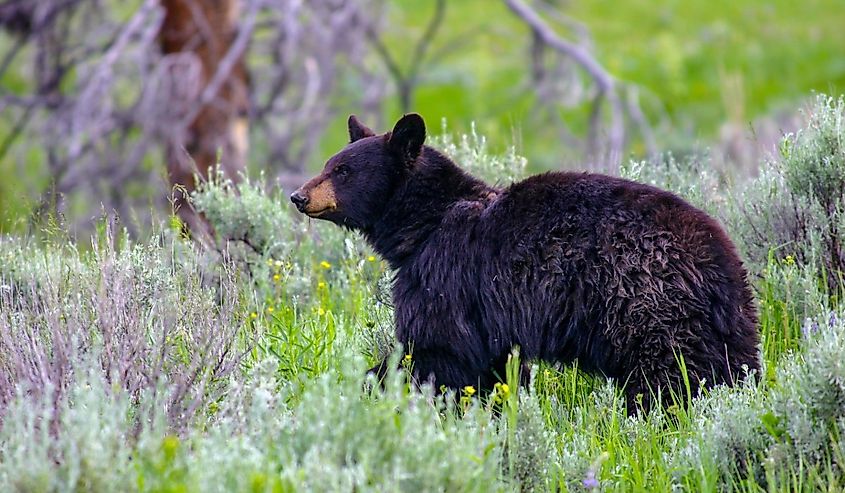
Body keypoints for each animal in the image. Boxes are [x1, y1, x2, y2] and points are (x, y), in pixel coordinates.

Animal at [291, 113, 760, 412]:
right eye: (330, 164)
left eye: (344, 170)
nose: (298, 195)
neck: (425, 224)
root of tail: (719, 258)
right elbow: (489, 368)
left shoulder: (446, 275)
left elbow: (437, 349)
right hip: (724, 321)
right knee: (729, 365)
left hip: (645, 303)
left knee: (669, 374)